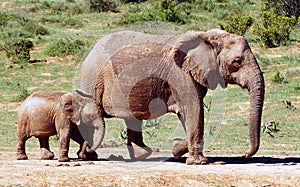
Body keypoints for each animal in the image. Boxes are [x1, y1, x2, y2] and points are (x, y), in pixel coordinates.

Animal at [80, 28, 264, 164]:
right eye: (237, 61)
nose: (245, 155)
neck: (206, 36)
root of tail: (92, 49)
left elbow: (189, 112)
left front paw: (177, 148)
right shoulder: (179, 73)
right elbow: (193, 108)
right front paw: (197, 162)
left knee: (131, 118)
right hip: (93, 76)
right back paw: (88, 156)